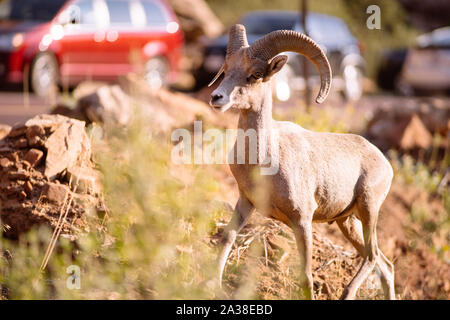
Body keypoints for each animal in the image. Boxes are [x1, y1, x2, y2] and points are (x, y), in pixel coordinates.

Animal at [209, 25, 396, 300]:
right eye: (226, 68)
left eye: (255, 75)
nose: (216, 97)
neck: (263, 161)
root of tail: (383, 161)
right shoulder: (245, 203)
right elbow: (227, 240)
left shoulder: (302, 222)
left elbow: (306, 277)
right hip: (347, 223)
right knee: (385, 266)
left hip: (368, 210)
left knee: (372, 257)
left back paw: (346, 293)